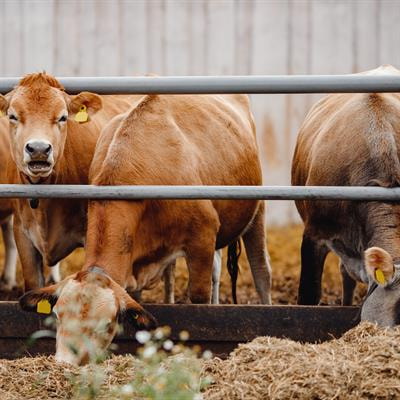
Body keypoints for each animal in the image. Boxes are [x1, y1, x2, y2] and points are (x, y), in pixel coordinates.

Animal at [21, 92, 272, 364]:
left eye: (105, 325)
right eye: (57, 315)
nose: (64, 363)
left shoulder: (202, 239)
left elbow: (199, 298)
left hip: (256, 212)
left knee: (261, 272)